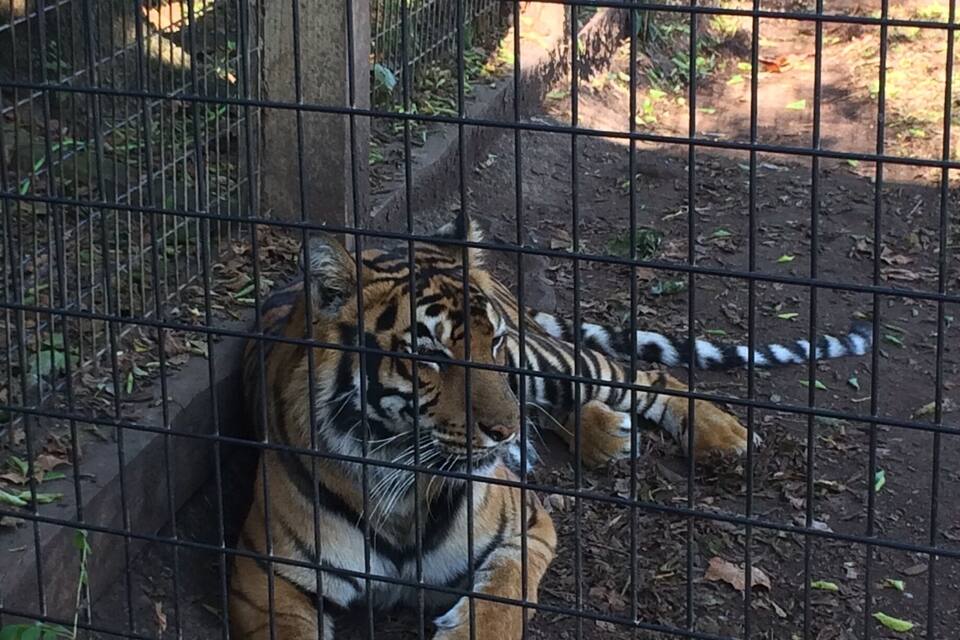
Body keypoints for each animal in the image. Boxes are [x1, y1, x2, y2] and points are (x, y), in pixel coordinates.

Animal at [228, 214, 872, 639]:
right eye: (430, 357)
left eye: (492, 344)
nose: (504, 433)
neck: (400, 486)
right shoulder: (267, 580)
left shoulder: (524, 528)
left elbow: (500, 605)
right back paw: (605, 438)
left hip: (548, 364)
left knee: (642, 375)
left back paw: (724, 439)